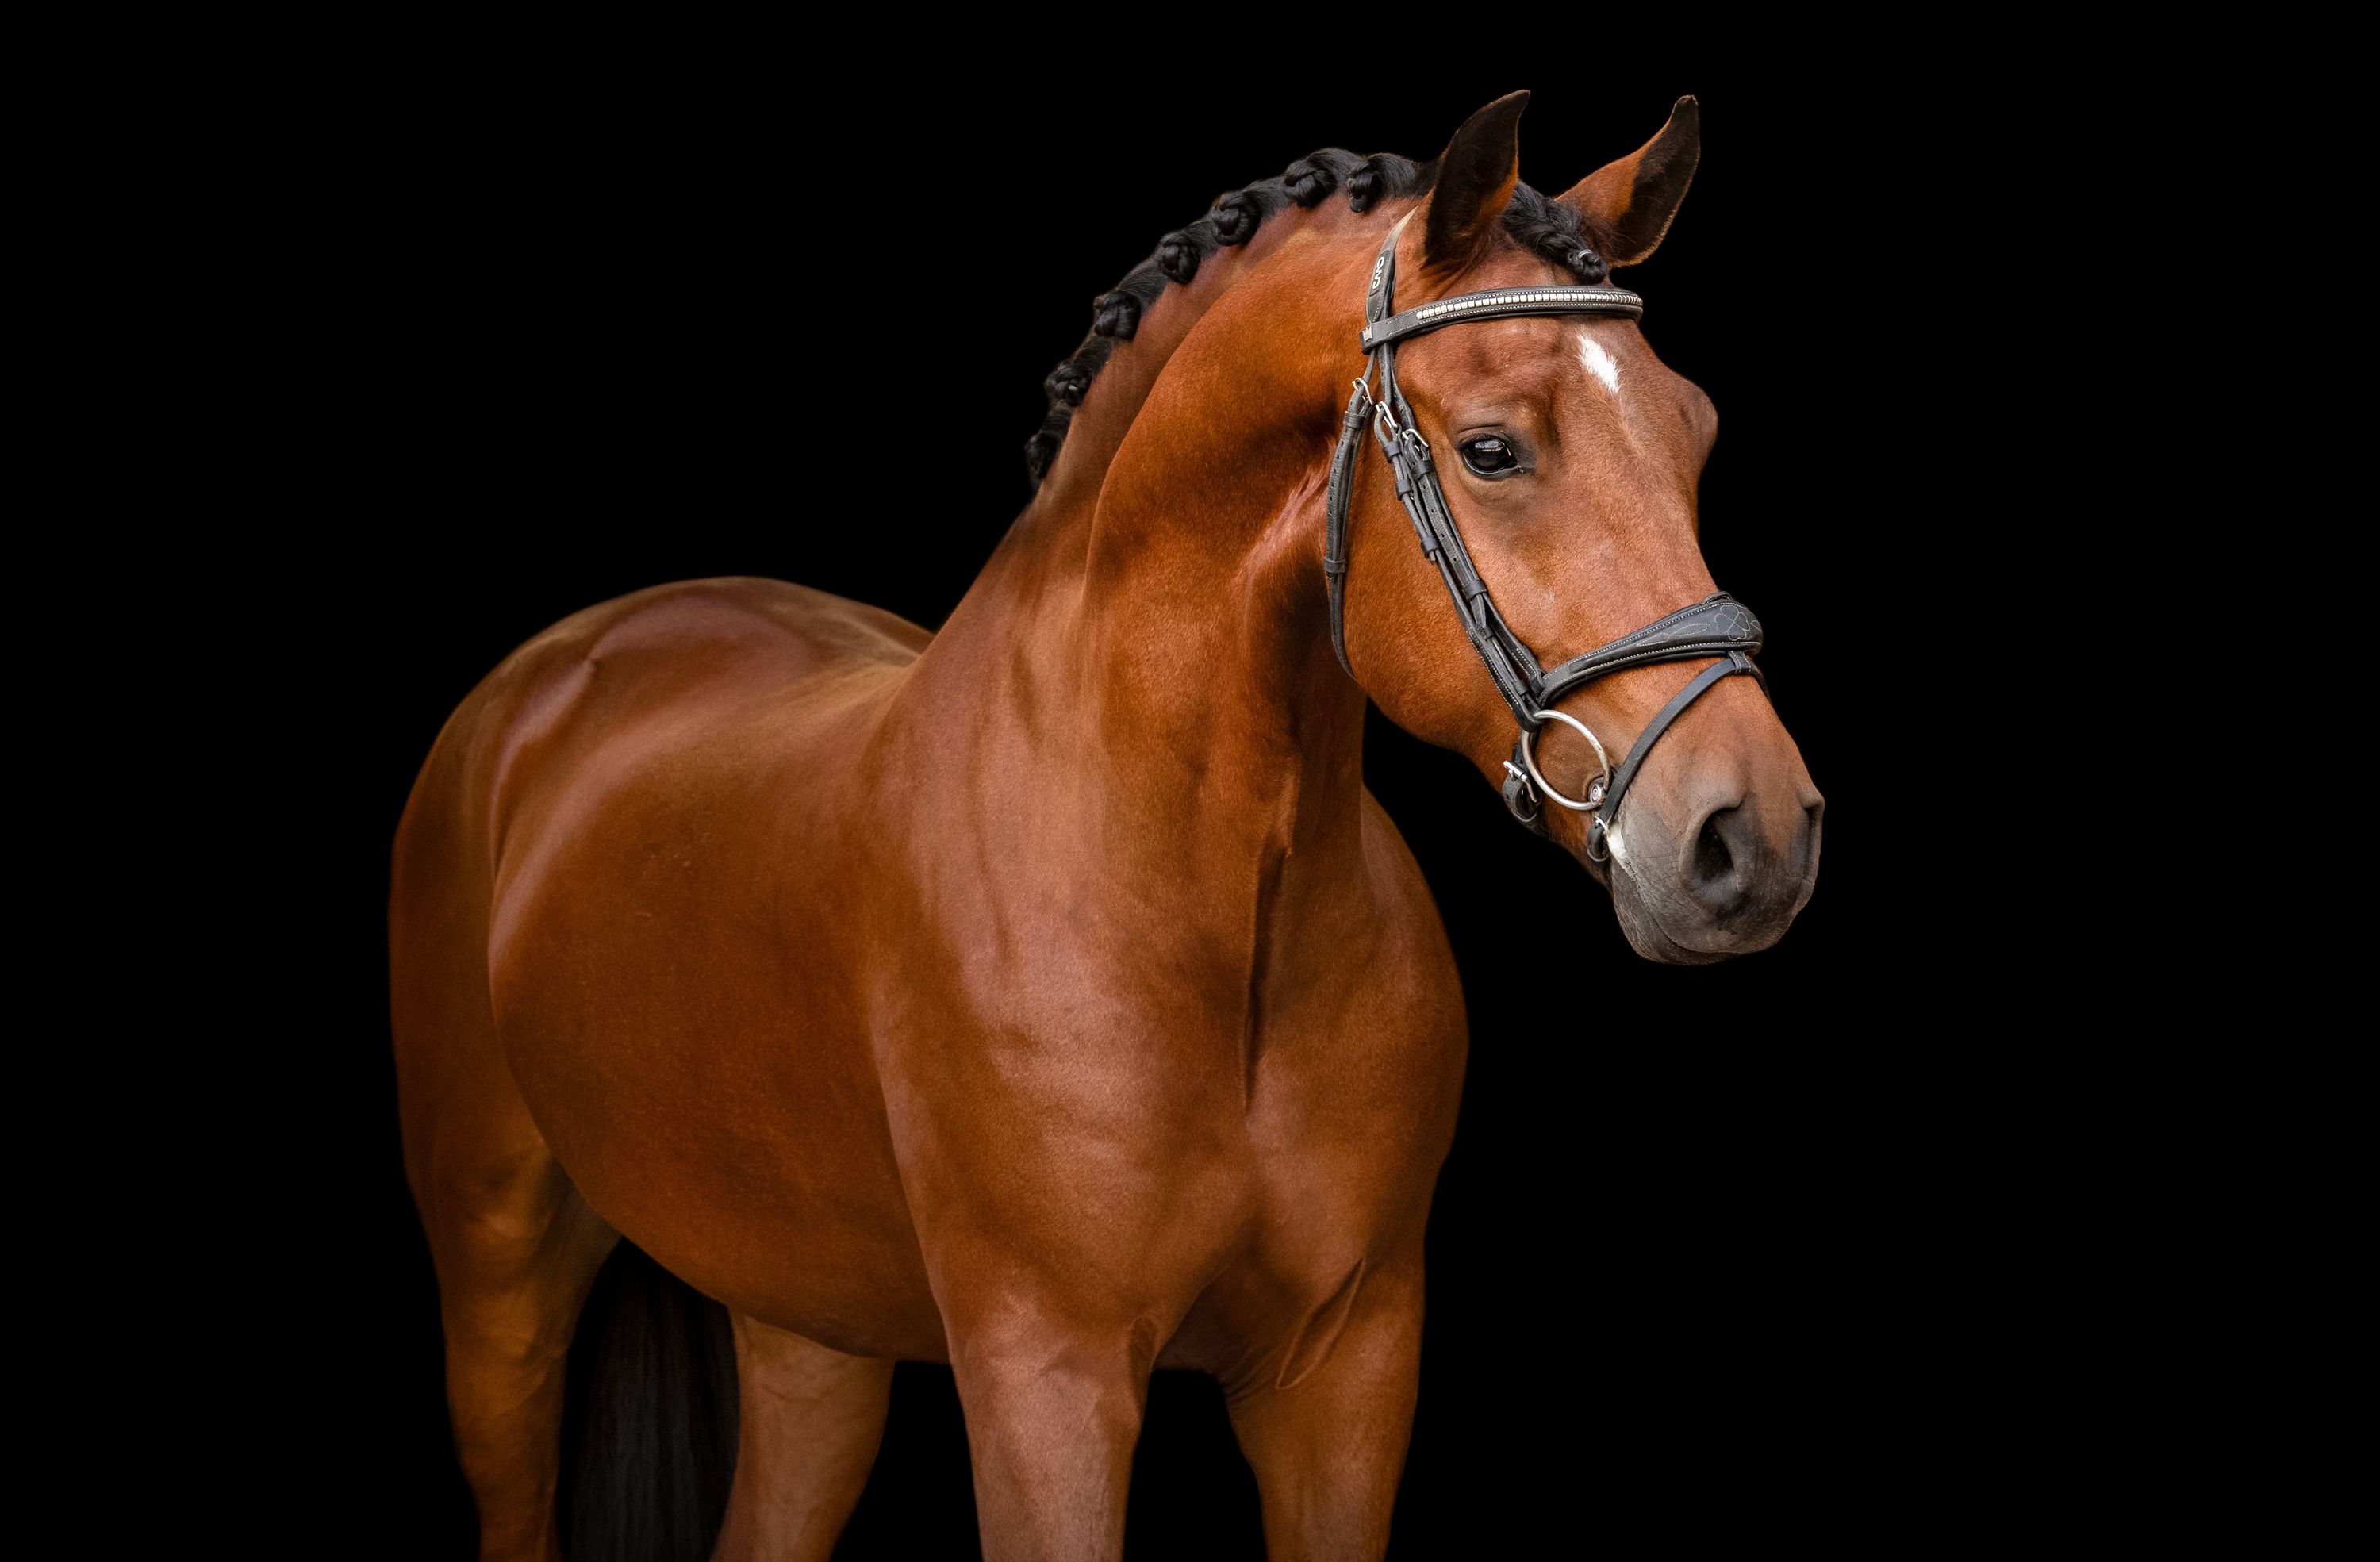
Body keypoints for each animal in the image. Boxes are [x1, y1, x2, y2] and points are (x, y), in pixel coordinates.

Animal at [390, 90, 1822, 1561]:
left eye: (1697, 431)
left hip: (808, 1333)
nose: (1752, 836)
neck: (1213, 917)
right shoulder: (1049, 1374)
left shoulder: (1348, 1366)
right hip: (501, 1278)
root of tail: (572, 659)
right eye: (1492, 447)